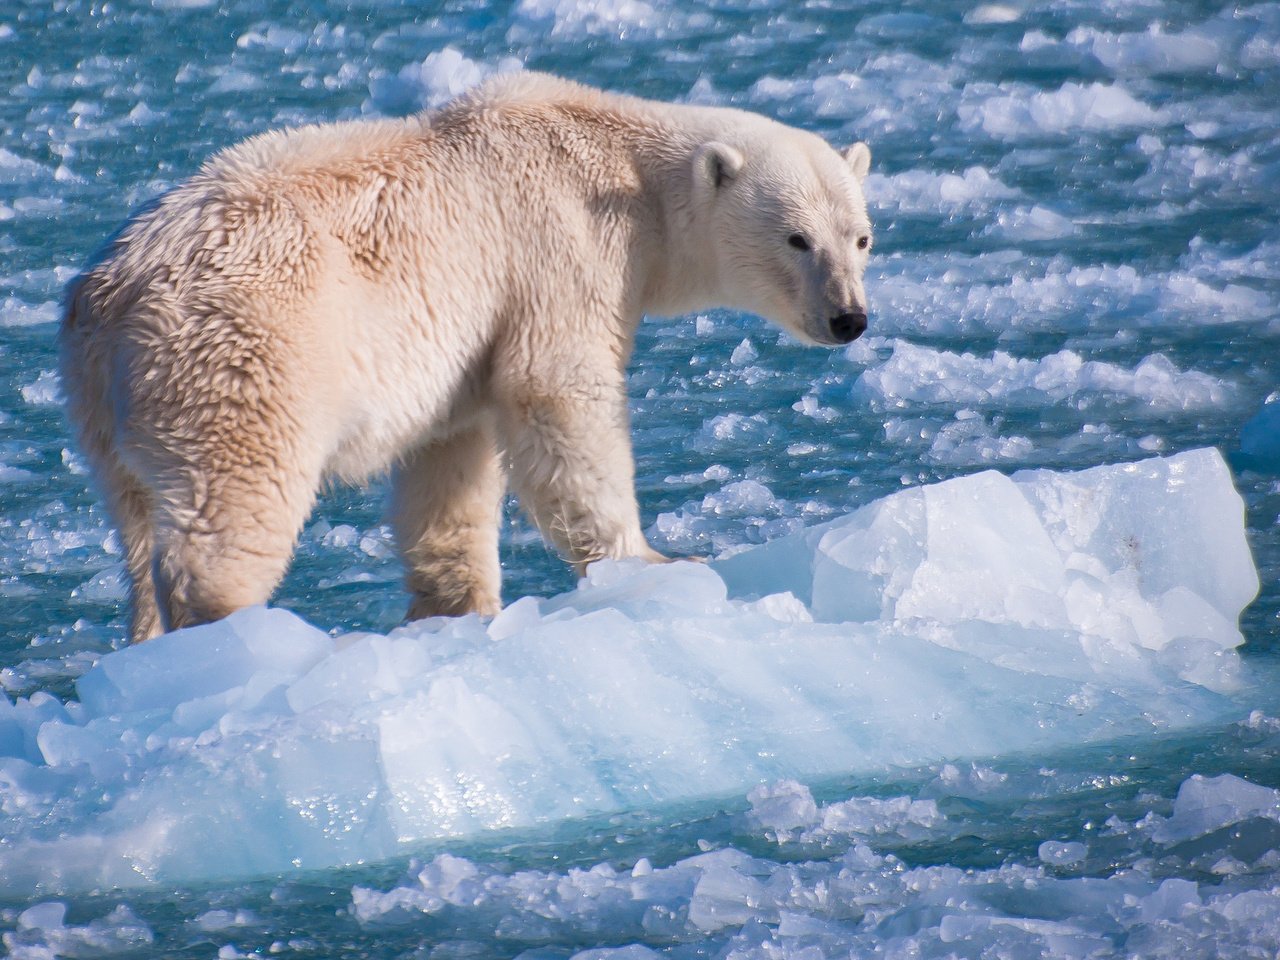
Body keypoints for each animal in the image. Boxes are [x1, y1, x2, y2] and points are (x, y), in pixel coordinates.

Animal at [64, 73, 875, 647]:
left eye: (861, 236)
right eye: (797, 238)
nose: (850, 318)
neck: (621, 167)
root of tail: (114, 295)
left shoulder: (463, 350)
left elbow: (450, 465)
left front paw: (458, 607)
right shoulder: (556, 250)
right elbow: (559, 396)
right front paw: (657, 562)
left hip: (104, 407)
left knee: (136, 524)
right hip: (247, 353)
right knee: (232, 500)